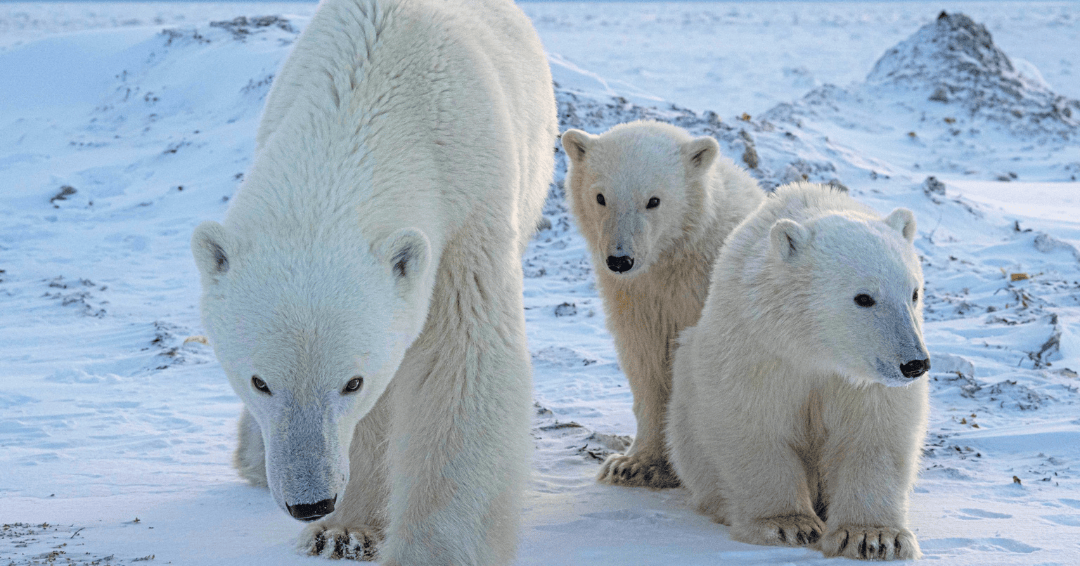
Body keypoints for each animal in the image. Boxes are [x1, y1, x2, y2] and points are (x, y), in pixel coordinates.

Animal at [190, 0, 557, 561]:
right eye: (259, 381)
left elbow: (460, 361)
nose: (310, 502)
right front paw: (342, 530)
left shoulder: (469, 214)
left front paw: (430, 549)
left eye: (352, 382)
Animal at [665, 183, 928, 557]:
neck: (814, 348)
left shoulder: (861, 380)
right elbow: (754, 424)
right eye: (864, 297)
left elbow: (873, 434)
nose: (914, 363)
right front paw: (787, 525)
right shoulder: (761, 350)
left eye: (914, 292)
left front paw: (874, 536)